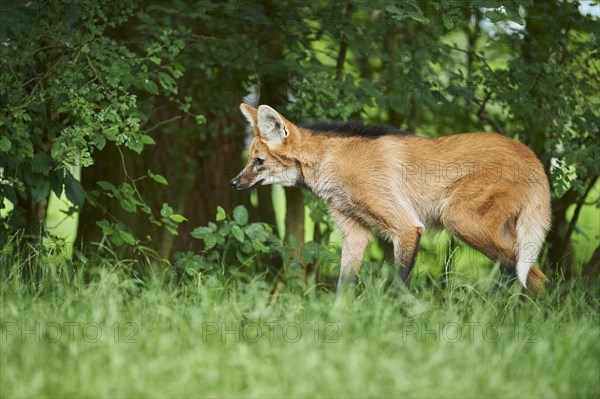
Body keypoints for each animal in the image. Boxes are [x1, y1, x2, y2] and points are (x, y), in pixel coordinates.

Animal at [232, 104, 552, 290]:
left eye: (258, 162)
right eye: (250, 159)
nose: (234, 182)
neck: (331, 162)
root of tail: (533, 158)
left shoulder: (407, 227)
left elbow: (399, 286)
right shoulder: (356, 233)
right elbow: (344, 286)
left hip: (459, 219)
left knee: (527, 275)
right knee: (537, 277)